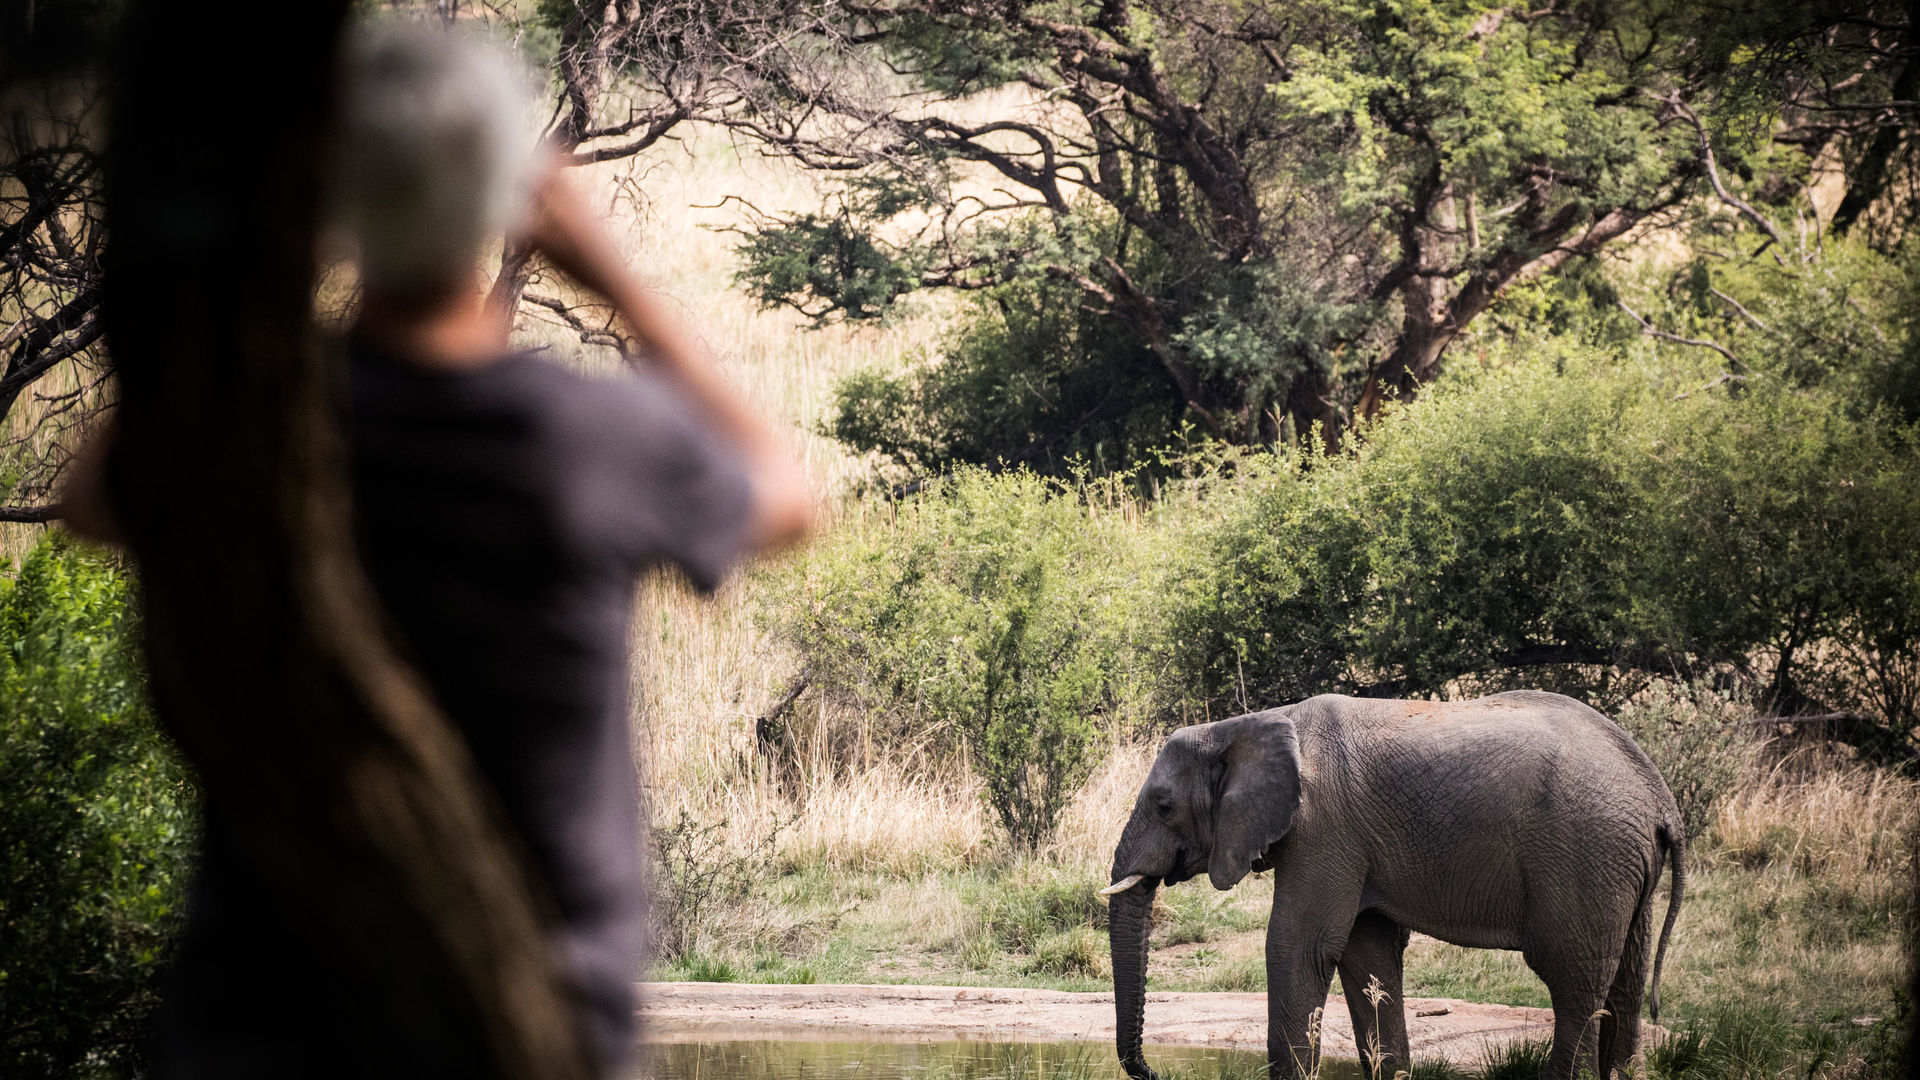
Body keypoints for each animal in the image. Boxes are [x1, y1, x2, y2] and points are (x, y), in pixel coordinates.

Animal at [1105, 687, 1689, 1076]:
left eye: (1163, 805)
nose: (1156, 1071)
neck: (1250, 723)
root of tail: (1660, 793)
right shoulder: (1354, 842)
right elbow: (1368, 958)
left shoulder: (1324, 828)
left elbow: (1299, 947)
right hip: (1623, 866)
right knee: (1627, 980)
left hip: (1586, 857)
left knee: (1574, 982)